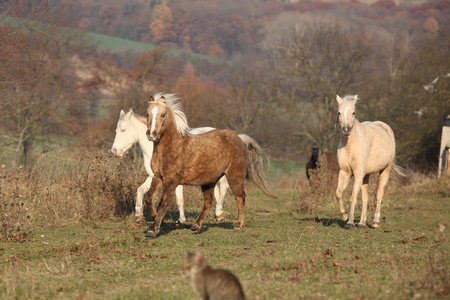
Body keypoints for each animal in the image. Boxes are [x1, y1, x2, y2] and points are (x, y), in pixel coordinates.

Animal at [144, 92, 278, 238]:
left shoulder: (171, 181)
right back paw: (196, 225)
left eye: (163, 114)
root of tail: (240, 139)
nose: (151, 134)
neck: (173, 146)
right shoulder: (158, 177)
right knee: (209, 202)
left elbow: (162, 204)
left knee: (240, 198)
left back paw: (239, 226)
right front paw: (157, 221)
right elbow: (148, 197)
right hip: (209, 181)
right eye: (147, 114)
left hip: (234, 177)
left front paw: (152, 230)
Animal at [334, 95, 408, 229]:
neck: (350, 145)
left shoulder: (358, 173)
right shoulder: (345, 172)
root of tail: (385, 127)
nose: (346, 130)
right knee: (365, 197)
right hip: (366, 175)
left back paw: (375, 222)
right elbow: (338, 193)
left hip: (385, 170)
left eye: (353, 112)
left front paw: (350, 223)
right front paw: (345, 218)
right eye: (339, 112)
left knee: (379, 194)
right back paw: (362, 223)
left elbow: (353, 197)